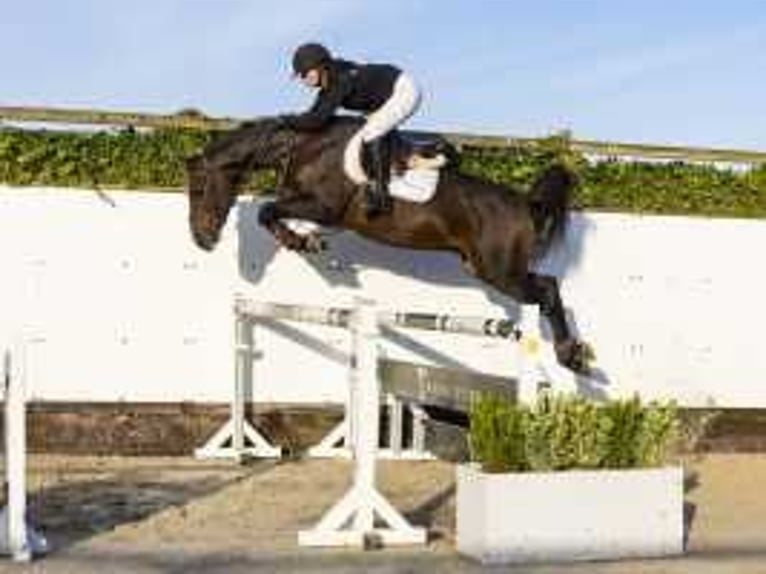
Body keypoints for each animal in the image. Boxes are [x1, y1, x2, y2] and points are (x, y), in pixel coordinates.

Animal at [186, 118, 592, 378]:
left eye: (199, 188)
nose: (201, 240)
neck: (303, 147)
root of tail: (524, 203)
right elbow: (273, 214)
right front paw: (306, 241)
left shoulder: (325, 207)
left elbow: (267, 211)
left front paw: (304, 241)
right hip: (482, 267)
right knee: (544, 288)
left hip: (499, 270)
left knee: (547, 289)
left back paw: (571, 355)